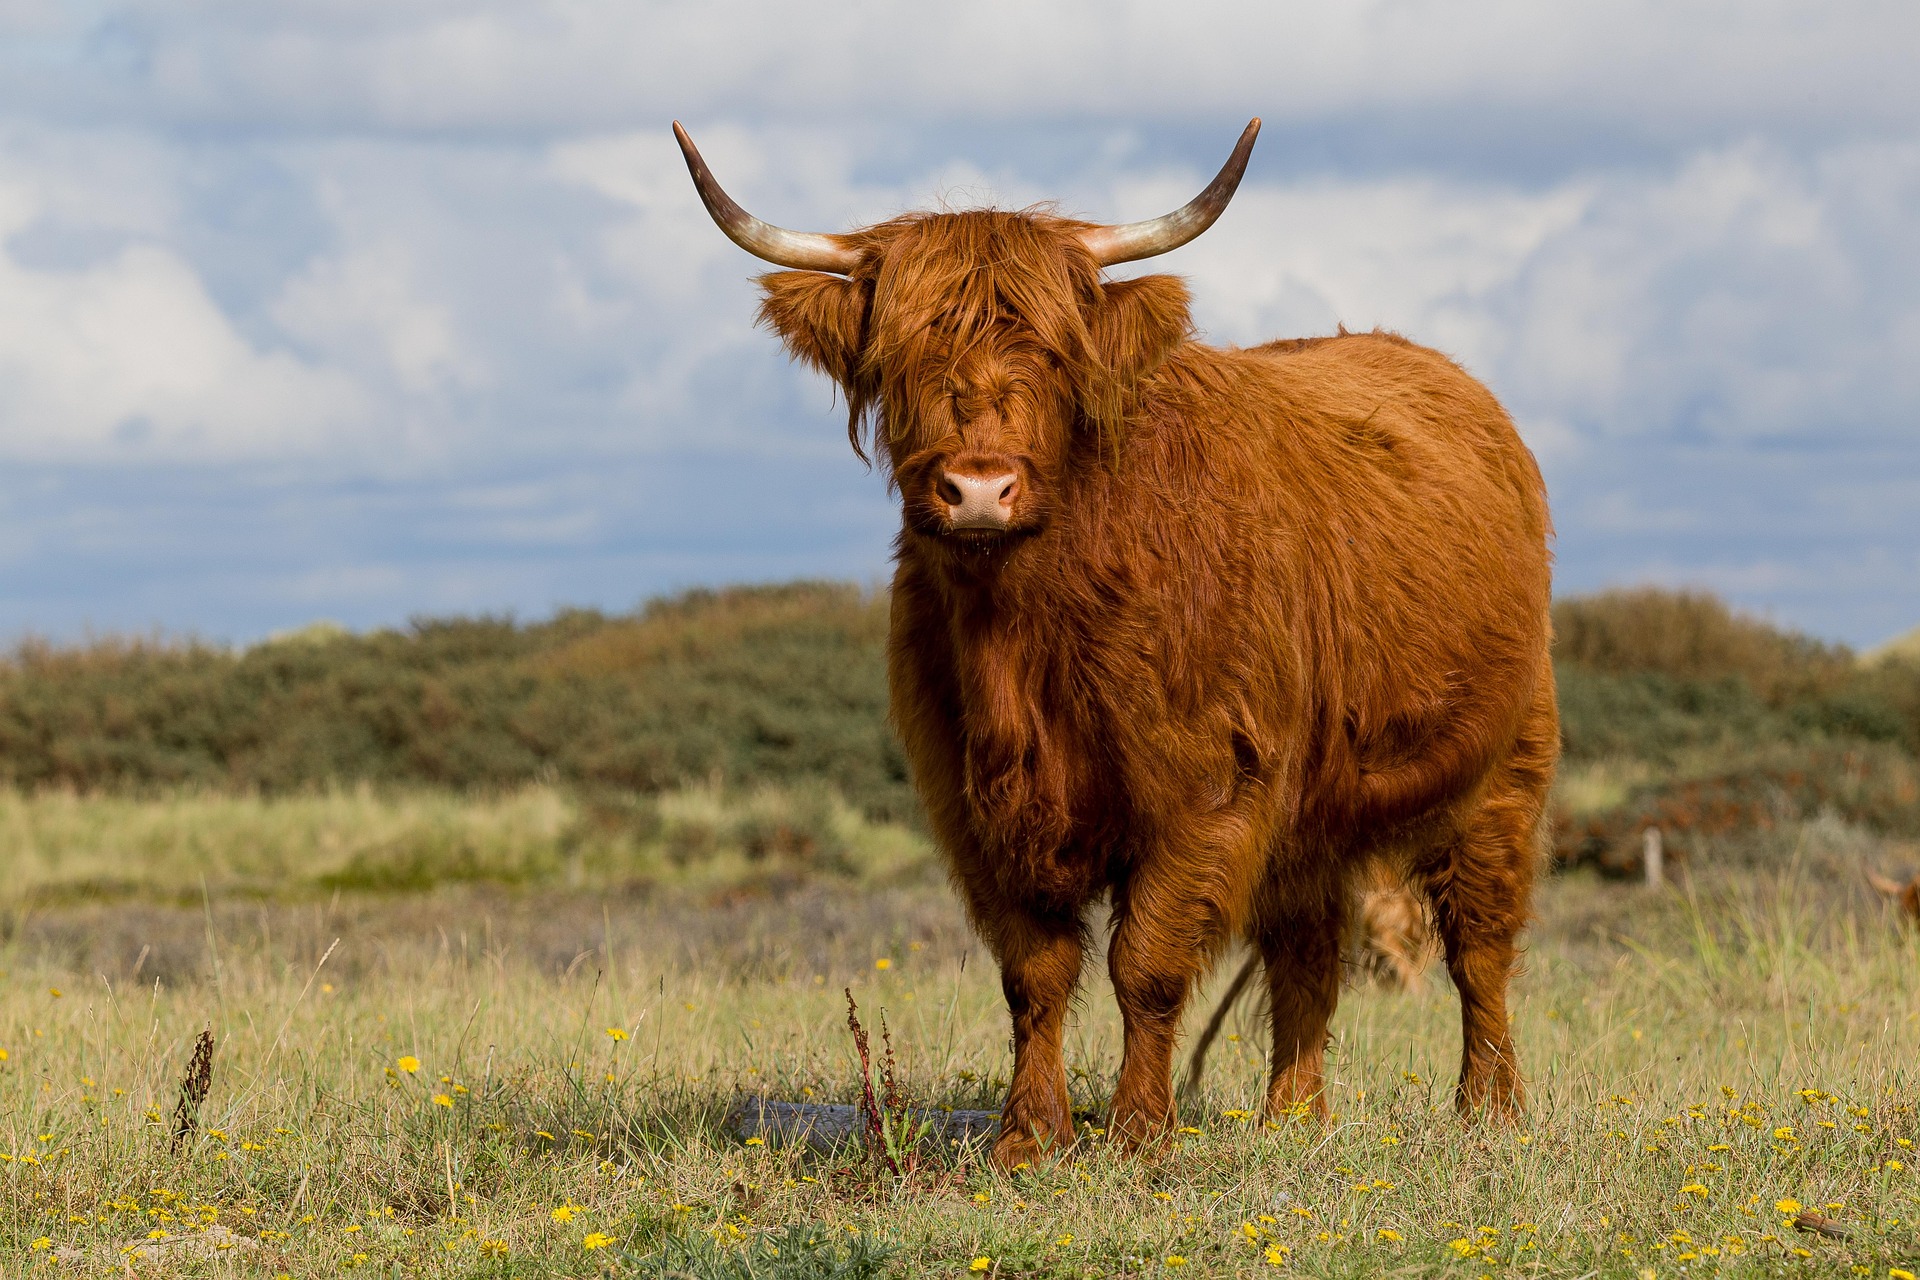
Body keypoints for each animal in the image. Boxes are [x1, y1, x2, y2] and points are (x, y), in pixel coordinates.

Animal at [676, 118, 1559, 1169]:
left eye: (1057, 354)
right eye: (898, 354)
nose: (979, 488)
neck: (1025, 633)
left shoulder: (1203, 785)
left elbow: (1148, 963)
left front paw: (1139, 1133)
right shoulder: (975, 803)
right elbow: (1036, 972)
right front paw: (1028, 1136)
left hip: (1504, 765)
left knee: (1480, 939)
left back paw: (1490, 1110)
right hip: (1307, 804)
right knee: (1307, 947)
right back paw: (1293, 1119)